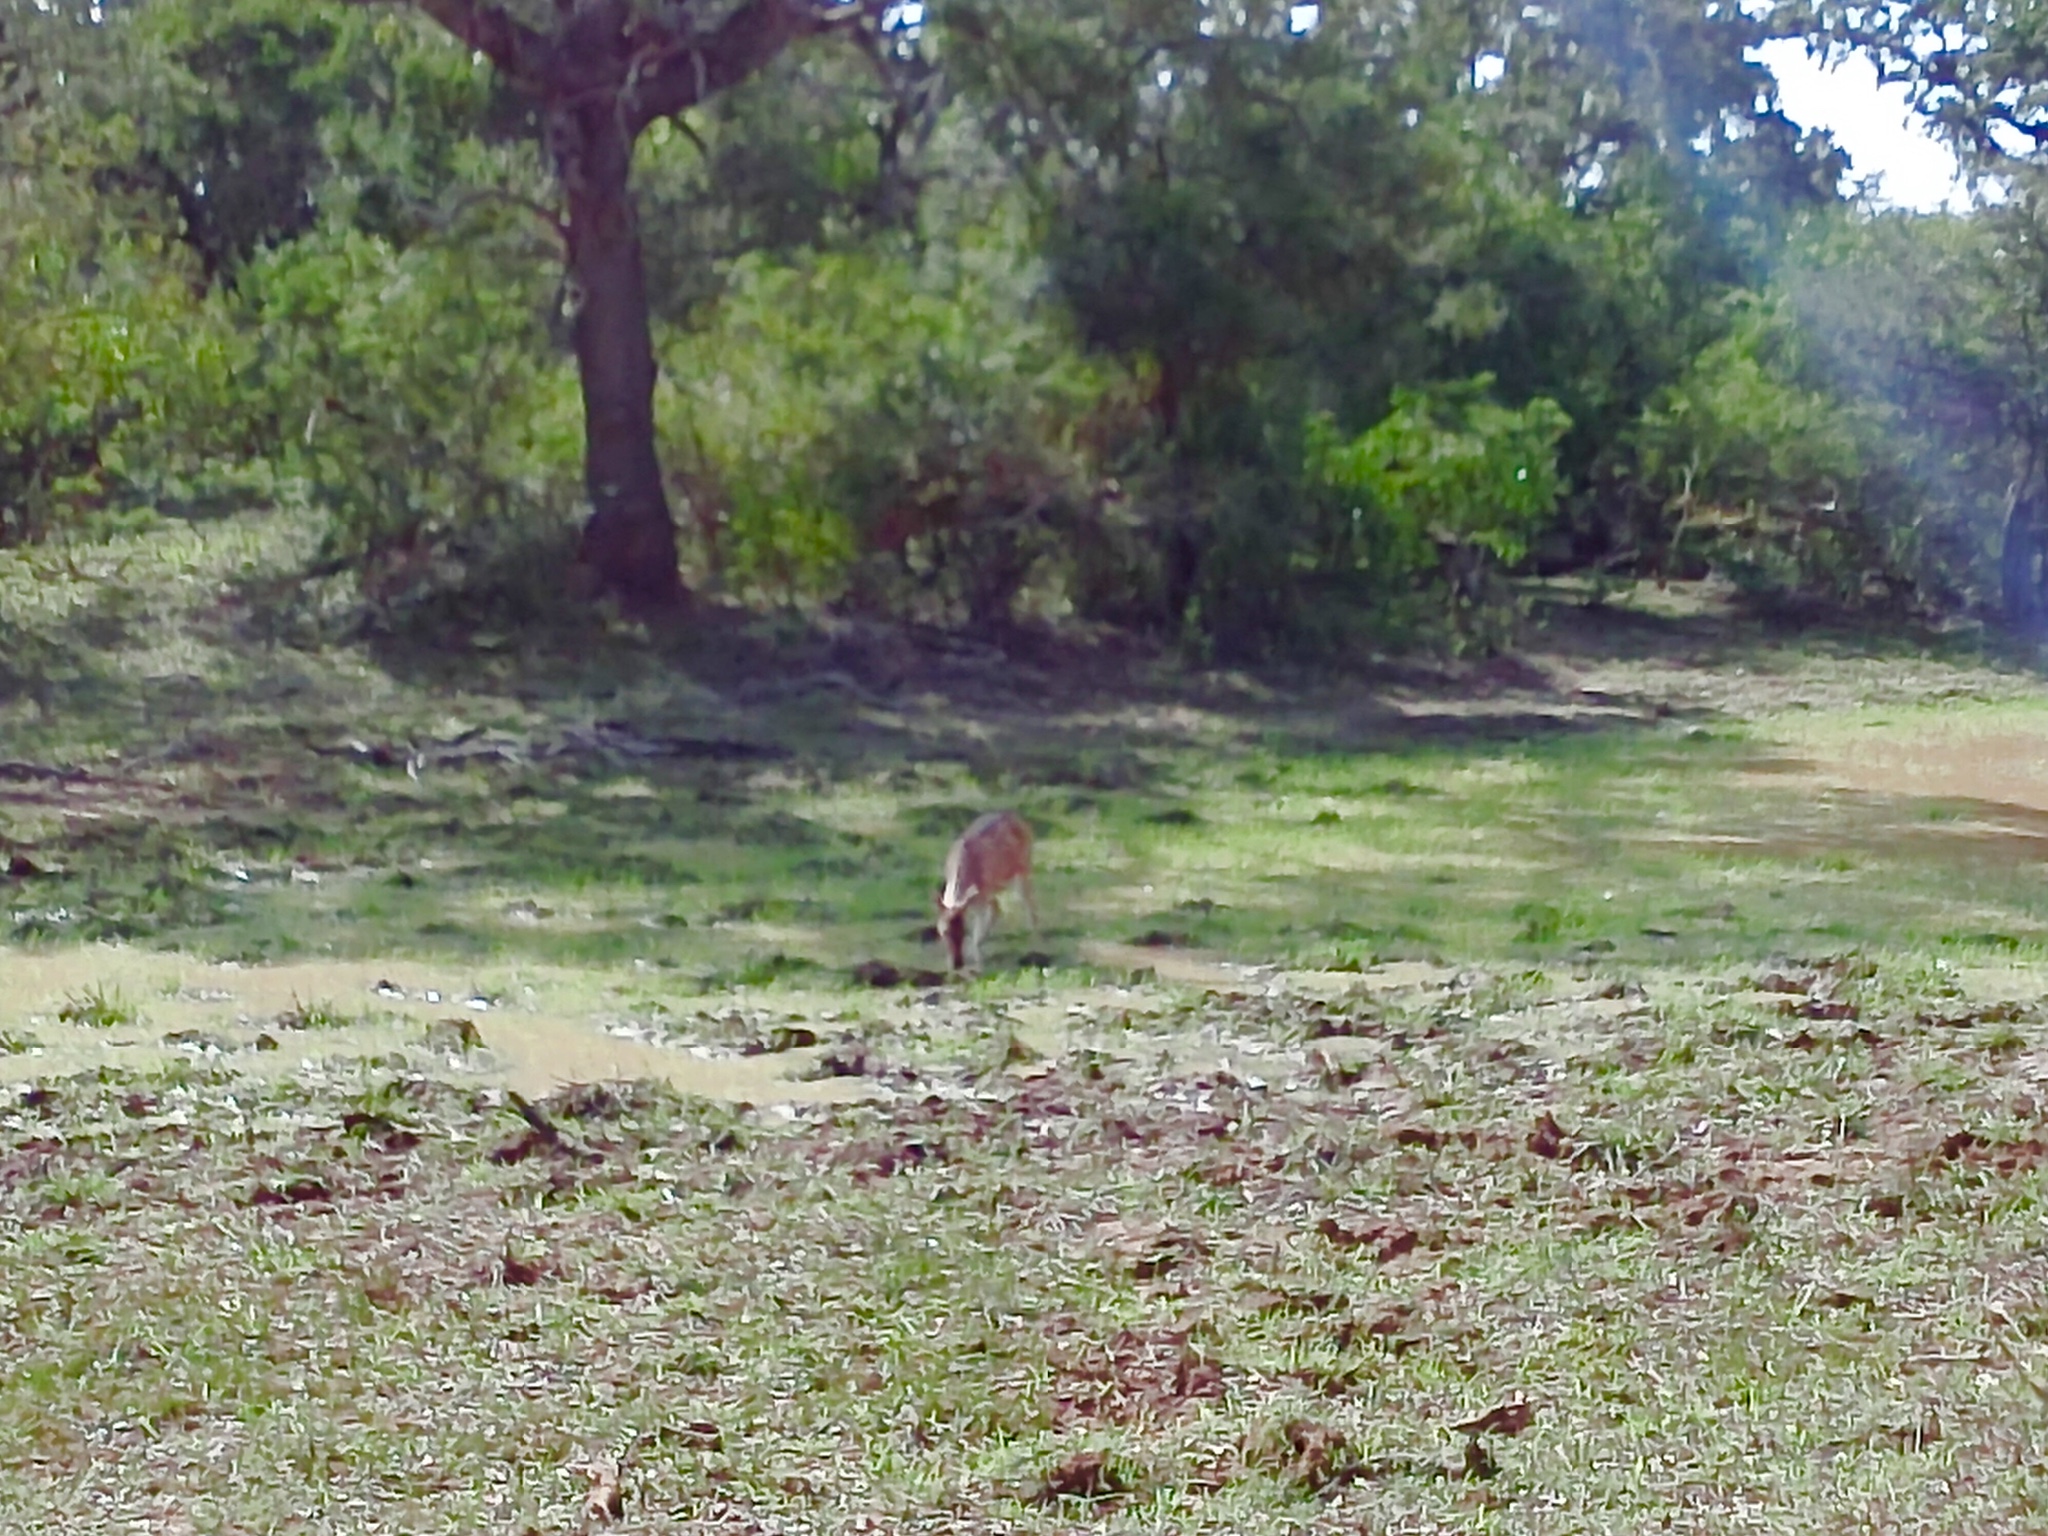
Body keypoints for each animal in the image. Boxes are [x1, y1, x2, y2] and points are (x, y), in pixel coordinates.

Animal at [937, 811, 1040, 966]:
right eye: (943, 932)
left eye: (963, 932)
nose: (957, 963)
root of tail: (1018, 817)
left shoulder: (980, 896)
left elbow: (979, 926)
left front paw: (978, 960)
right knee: (999, 906)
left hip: (1023, 868)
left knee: (1029, 902)